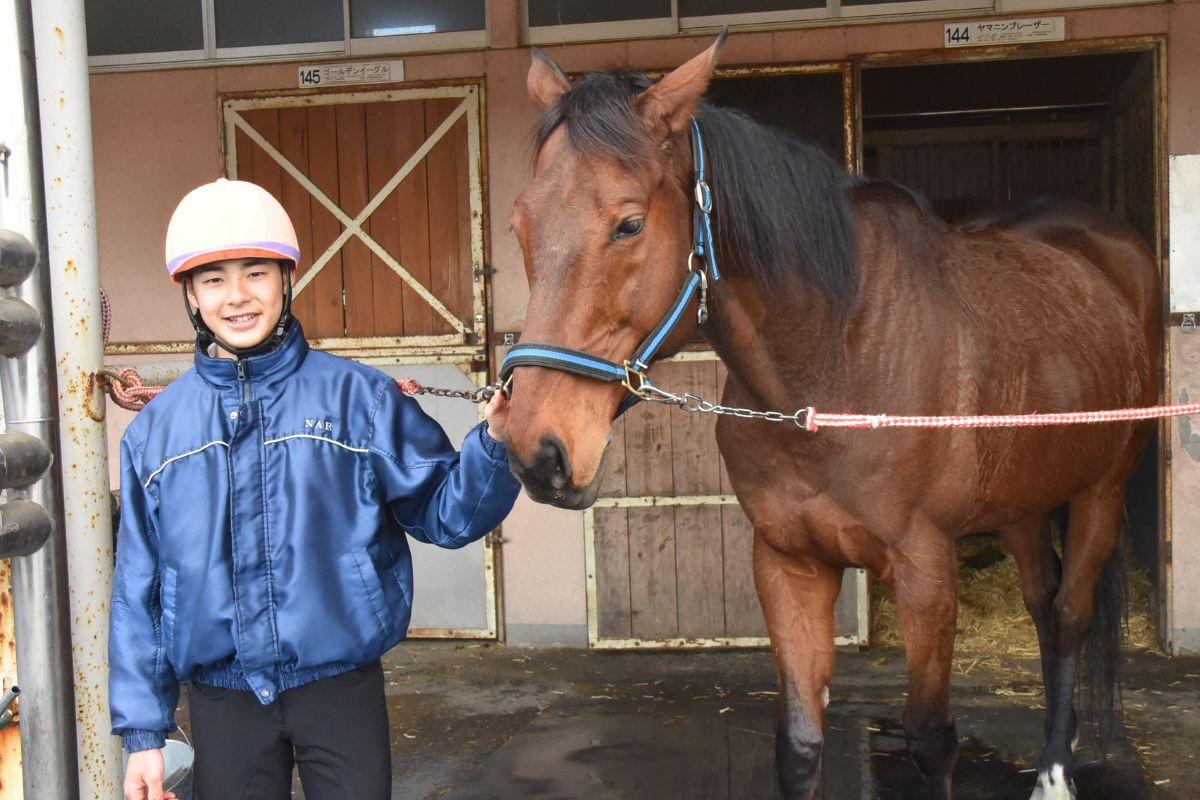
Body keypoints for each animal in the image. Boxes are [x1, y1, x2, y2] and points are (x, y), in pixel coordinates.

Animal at [497, 33, 1160, 800]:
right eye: (518, 225)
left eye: (629, 224)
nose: (536, 450)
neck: (832, 366)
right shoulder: (789, 563)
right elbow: (800, 744)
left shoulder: (927, 570)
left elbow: (931, 739)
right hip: (1023, 503)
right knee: (1043, 607)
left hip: (1101, 494)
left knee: (1072, 615)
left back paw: (1055, 771)